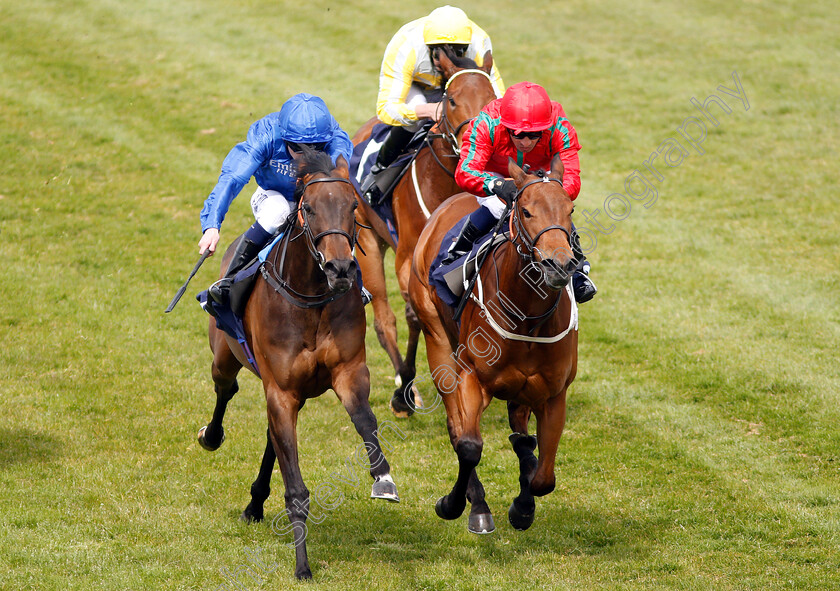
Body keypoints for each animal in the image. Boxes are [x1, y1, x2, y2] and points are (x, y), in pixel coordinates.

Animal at [197, 149, 398, 584]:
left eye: (352, 205)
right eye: (309, 208)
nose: (340, 269)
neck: (311, 299)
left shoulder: (348, 373)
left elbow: (366, 421)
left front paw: (384, 479)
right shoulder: (281, 390)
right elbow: (296, 489)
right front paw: (302, 565)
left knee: (271, 436)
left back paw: (255, 503)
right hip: (225, 357)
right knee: (225, 390)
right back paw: (211, 436)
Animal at [350, 52, 498, 420]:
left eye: (492, 101)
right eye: (453, 99)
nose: (476, 150)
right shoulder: (408, 262)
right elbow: (414, 316)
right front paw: (403, 392)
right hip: (368, 241)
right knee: (384, 320)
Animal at [406, 157, 576, 536]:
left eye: (570, 210)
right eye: (526, 211)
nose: (559, 265)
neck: (527, 316)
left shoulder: (553, 393)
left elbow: (544, 477)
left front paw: (523, 508)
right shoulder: (471, 377)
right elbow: (468, 446)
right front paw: (453, 505)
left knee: (520, 432)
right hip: (437, 339)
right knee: (456, 427)